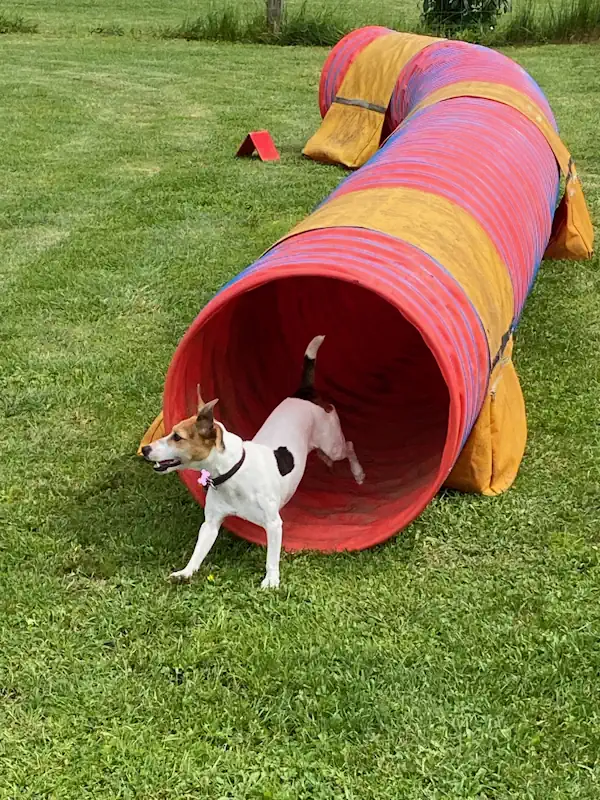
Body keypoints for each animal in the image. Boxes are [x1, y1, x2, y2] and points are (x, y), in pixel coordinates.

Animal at [142, 332, 366, 588]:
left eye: (177, 437)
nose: (145, 449)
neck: (234, 471)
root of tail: (305, 393)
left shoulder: (274, 524)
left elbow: (271, 558)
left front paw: (271, 581)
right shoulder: (210, 524)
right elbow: (198, 552)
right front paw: (185, 572)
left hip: (333, 443)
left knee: (349, 446)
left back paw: (358, 473)